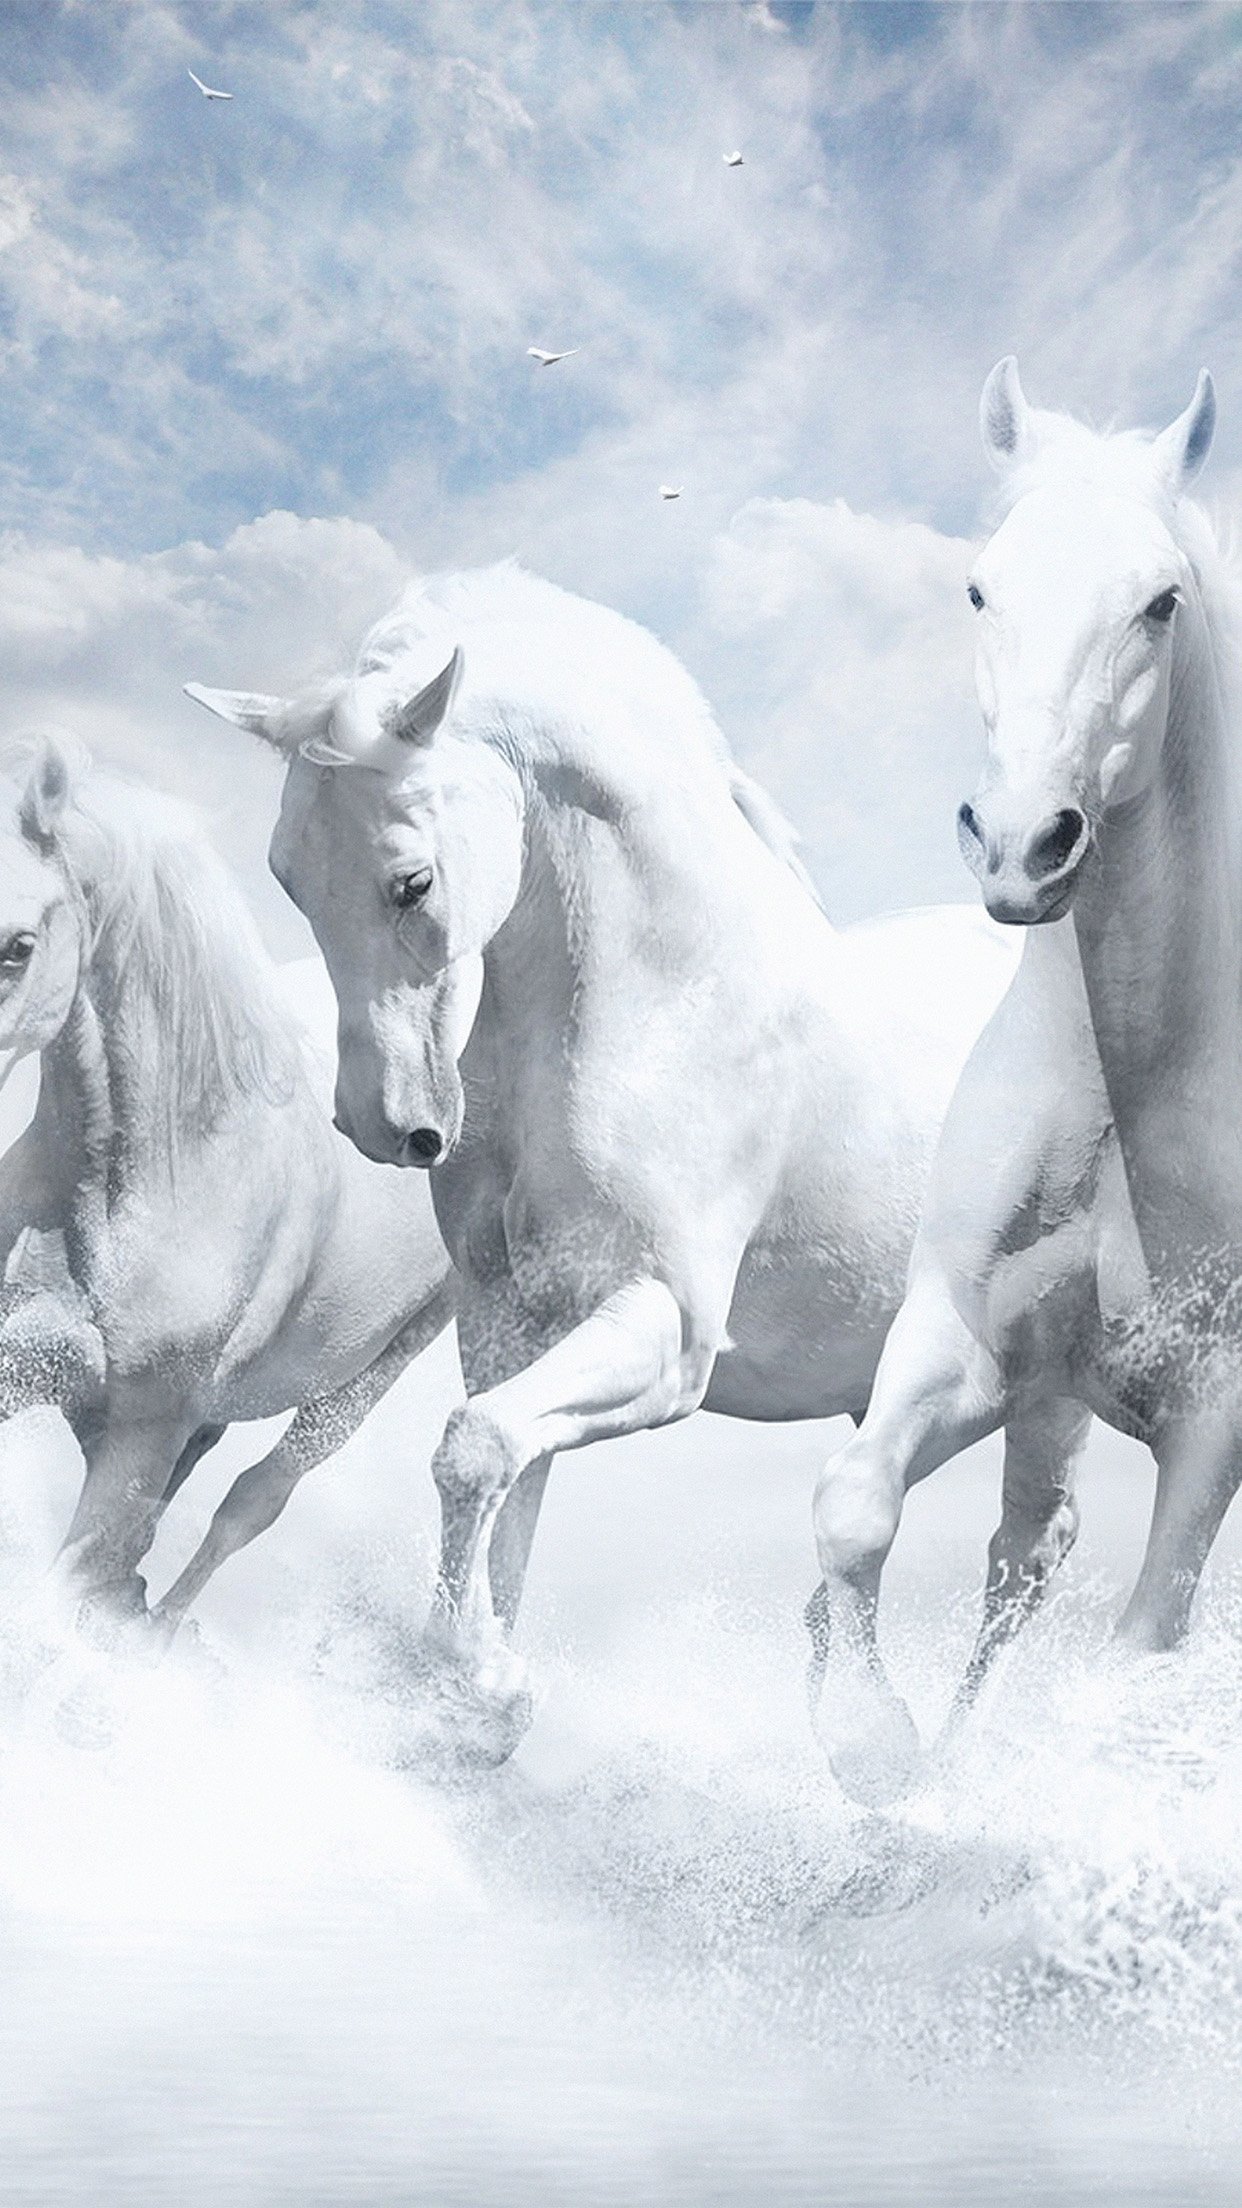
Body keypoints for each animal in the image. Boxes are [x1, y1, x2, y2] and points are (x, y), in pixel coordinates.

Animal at [186, 561, 1089, 1766]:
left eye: (411, 883)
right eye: (288, 879)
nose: (387, 1127)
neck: (661, 1008)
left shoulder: (667, 1330)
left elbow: (474, 1451)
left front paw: (482, 1683)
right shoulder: (512, 1321)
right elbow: (505, 1489)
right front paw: (477, 1697)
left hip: (1047, 1383)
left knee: (1027, 1554)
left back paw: (929, 1768)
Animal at [804, 360, 1242, 1801]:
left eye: (1159, 602)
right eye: (980, 589)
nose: (1019, 847)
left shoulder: (1211, 1420)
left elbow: (1141, 1651)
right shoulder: (972, 1338)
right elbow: (854, 1505)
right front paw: (870, 1749)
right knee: (1020, 1555)